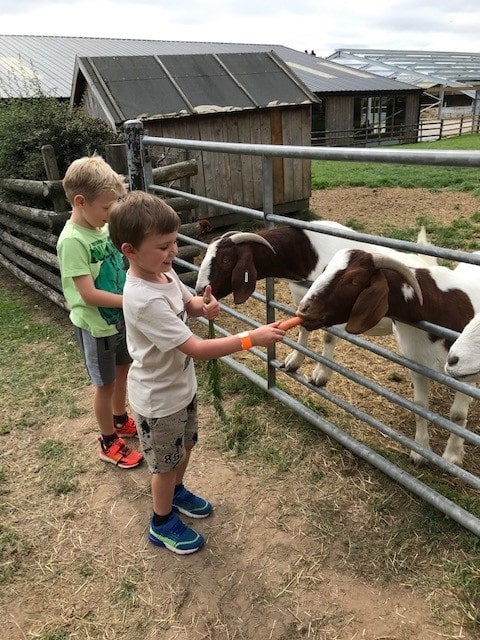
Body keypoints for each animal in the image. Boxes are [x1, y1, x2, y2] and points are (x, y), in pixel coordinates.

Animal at [195, 221, 436, 384]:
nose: (199, 291)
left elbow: (329, 337)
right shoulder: (305, 299)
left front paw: (320, 375)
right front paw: (294, 361)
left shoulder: (335, 307)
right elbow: (302, 326)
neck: (307, 253)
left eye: (226, 259)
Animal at [296, 248, 480, 468]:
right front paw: (420, 451)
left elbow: (457, 415)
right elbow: (420, 407)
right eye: (324, 269)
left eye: (354, 280)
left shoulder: (465, 371)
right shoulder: (418, 366)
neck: (439, 305)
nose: (303, 310)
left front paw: (452, 456)